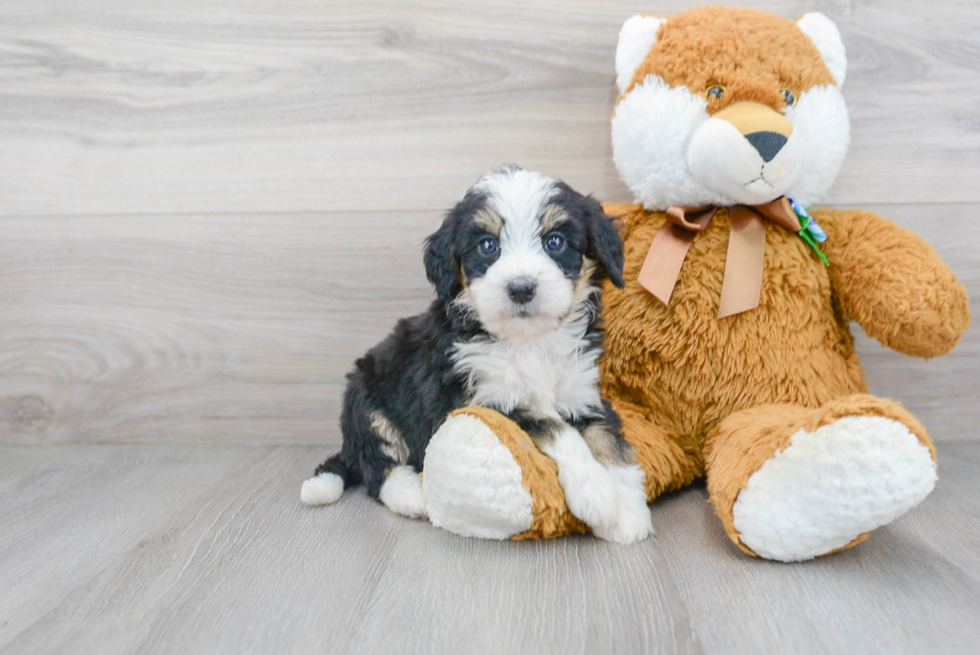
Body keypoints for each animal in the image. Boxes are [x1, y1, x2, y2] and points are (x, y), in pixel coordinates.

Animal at [298, 167, 652, 544]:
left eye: (555, 241)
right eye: (487, 245)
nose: (521, 288)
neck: (528, 341)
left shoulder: (582, 390)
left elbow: (609, 440)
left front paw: (627, 511)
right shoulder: (486, 399)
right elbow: (555, 427)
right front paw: (596, 494)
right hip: (365, 402)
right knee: (378, 469)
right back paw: (415, 495)